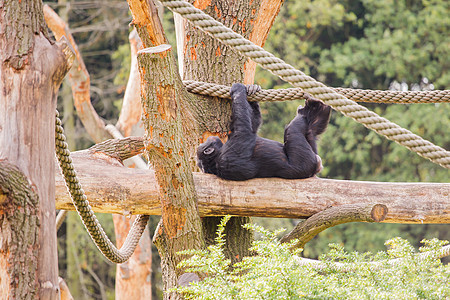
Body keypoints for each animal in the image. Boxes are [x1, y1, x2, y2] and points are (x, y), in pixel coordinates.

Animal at [197, 82, 330, 180]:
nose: (207, 140)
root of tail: (316, 167)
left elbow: (251, 126)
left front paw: (251, 90)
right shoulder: (227, 159)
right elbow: (244, 133)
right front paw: (237, 89)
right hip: (304, 161)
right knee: (292, 130)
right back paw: (312, 107)